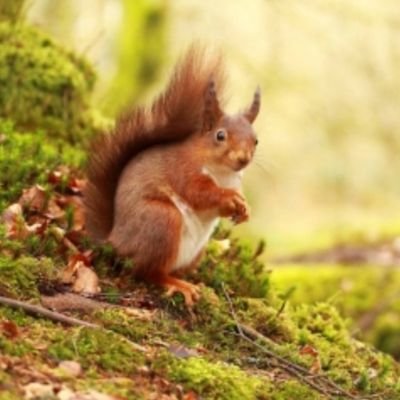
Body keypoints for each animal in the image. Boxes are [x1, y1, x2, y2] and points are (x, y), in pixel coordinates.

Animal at [83, 48, 260, 304]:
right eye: (220, 136)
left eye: (256, 140)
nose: (243, 159)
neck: (223, 173)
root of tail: (114, 241)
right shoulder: (183, 170)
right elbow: (198, 192)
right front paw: (228, 197)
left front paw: (244, 209)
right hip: (162, 221)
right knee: (147, 272)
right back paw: (178, 285)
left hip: (196, 251)